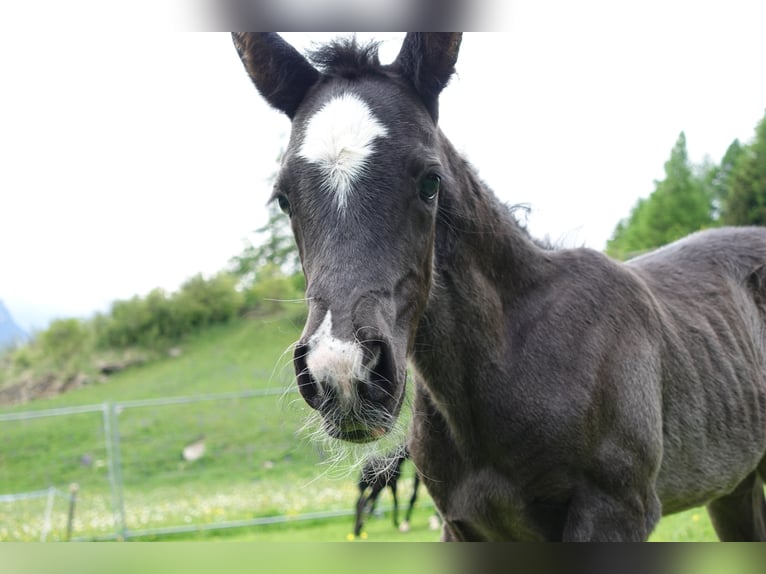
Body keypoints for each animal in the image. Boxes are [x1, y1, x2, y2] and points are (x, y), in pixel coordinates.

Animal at [231, 32, 766, 541]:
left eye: (430, 181)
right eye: (284, 198)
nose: (341, 372)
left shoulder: (617, 511)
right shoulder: (463, 526)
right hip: (735, 490)